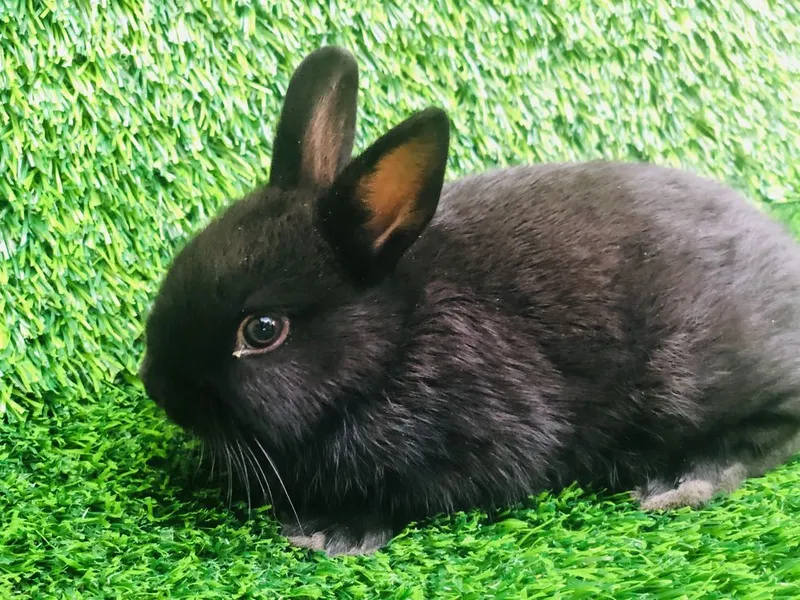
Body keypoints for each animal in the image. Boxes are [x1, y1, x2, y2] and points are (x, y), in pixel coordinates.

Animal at [139, 45, 800, 556]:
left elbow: (416, 493)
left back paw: (682, 479)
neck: (397, 341)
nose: (156, 386)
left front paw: (330, 531)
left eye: (262, 330)